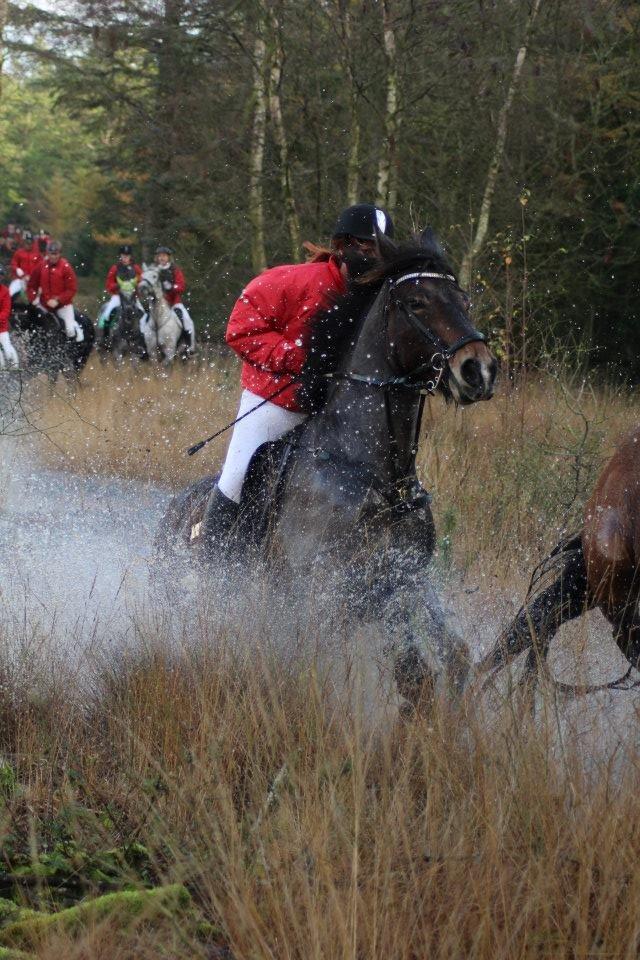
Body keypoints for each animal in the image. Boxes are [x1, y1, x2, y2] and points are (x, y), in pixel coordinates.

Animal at [158, 234, 498, 704]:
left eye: (463, 300)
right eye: (417, 302)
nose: (479, 369)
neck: (378, 477)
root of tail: (173, 512)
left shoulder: (405, 581)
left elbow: (440, 665)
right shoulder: (326, 594)